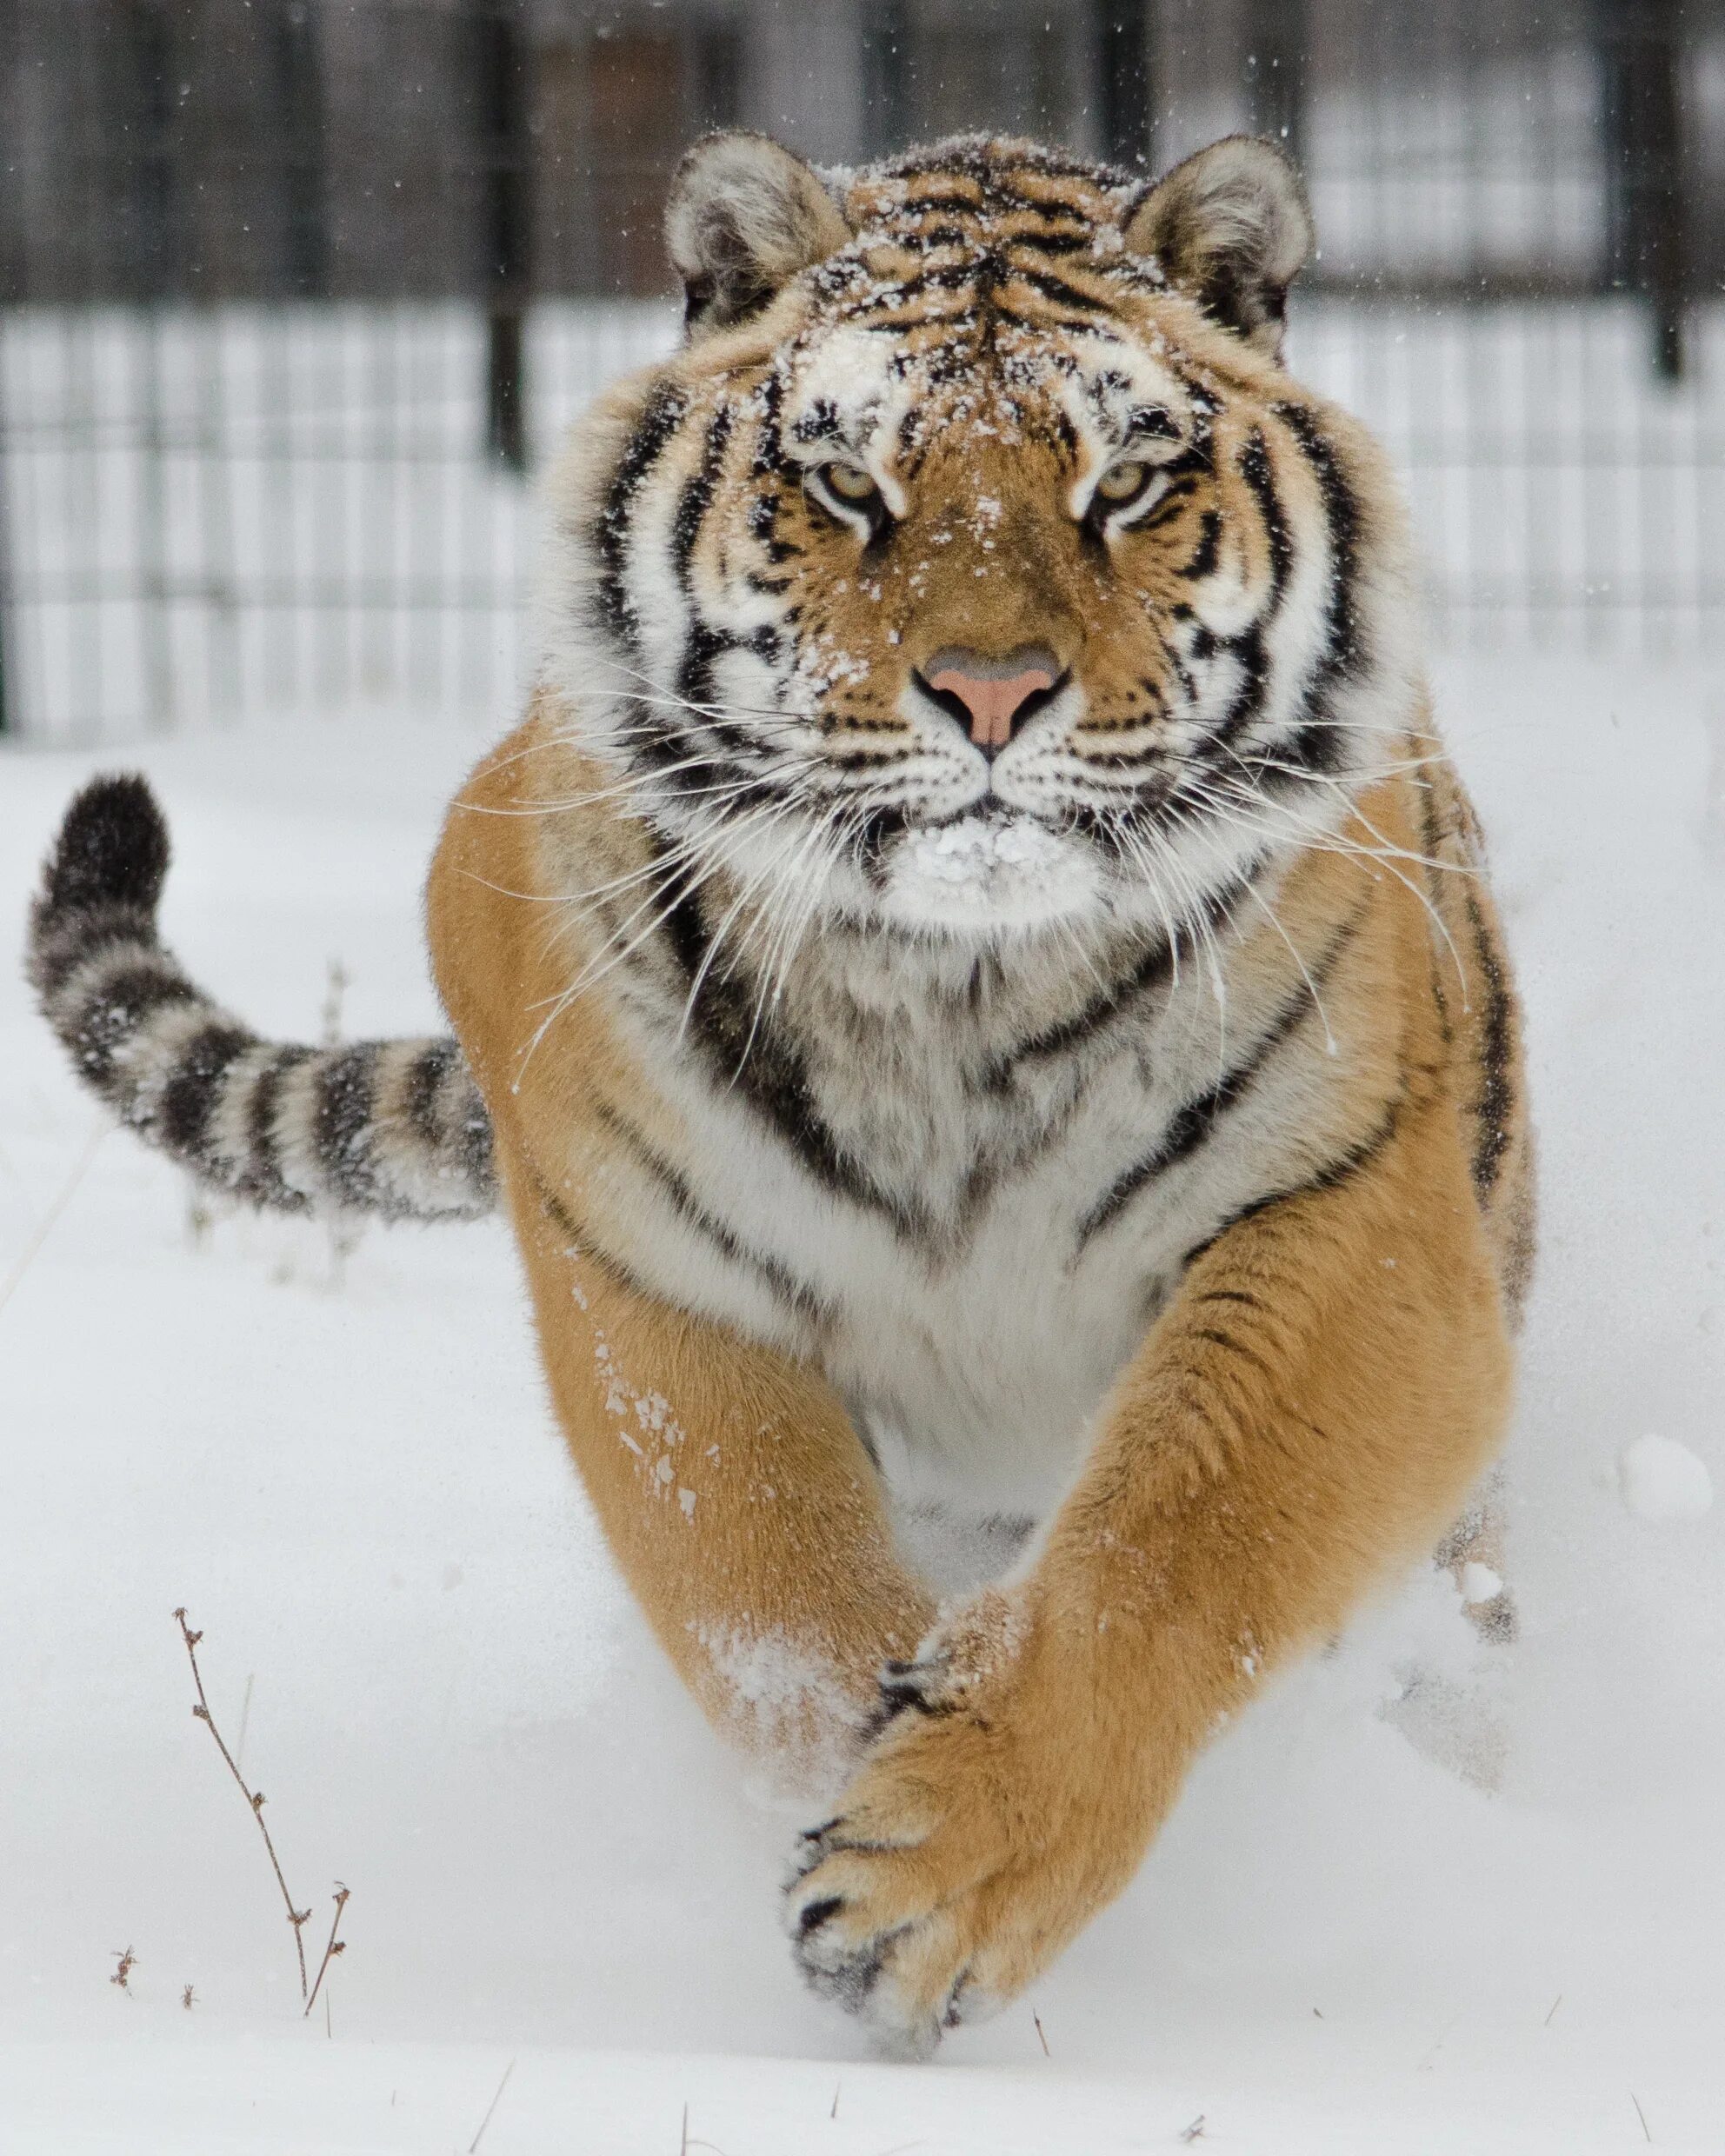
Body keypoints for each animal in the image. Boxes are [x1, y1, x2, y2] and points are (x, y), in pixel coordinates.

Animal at [30, 130, 1535, 2052]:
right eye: (844, 482)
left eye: (1122, 481)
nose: (988, 691)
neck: (957, 984)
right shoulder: (654, 1277)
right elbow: (767, 1589)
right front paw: (862, 1789)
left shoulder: (1352, 1234)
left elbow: (1160, 1549)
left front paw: (935, 1872)